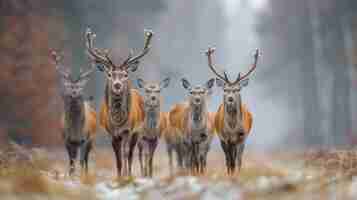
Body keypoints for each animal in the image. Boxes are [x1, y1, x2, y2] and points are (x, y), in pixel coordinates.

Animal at [86, 27, 153, 176]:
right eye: (109, 74)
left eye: (125, 74)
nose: (117, 85)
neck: (118, 121)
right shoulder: (112, 133)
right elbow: (117, 157)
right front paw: (118, 176)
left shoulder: (128, 130)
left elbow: (125, 153)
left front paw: (126, 175)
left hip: (137, 132)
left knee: (131, 153)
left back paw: (130, 172)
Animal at [206, 47, 258, 175]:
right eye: (225, 89)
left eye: (237, 89)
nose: (230, 98)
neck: (233, 128)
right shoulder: (225, 138)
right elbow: (229, 161)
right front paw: (231, 174)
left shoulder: (242, 136)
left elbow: (239, 160)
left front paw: (238, 174)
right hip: (223, 139)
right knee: (229, 159)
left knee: (236, 158)